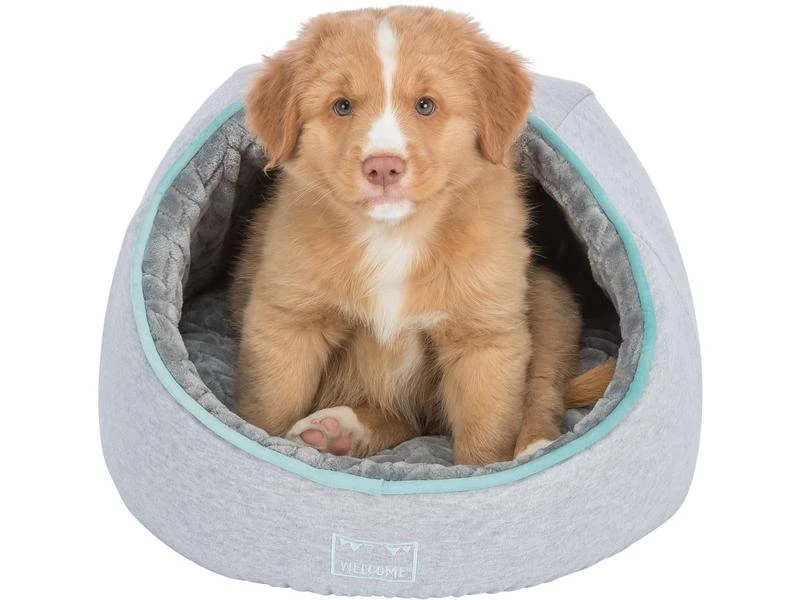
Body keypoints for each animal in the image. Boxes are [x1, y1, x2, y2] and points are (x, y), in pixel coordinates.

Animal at [231, 6, 613, 466]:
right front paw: (262, 444)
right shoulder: (286, 320)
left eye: (426, 105)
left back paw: (534, 446)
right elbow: (270, 407)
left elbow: (485, 437)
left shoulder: (485, 338)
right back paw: (335, 431)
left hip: (549, 305)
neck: (394, 236)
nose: (383, 167)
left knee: (543, 391)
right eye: (342, 106)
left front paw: (483, 472)